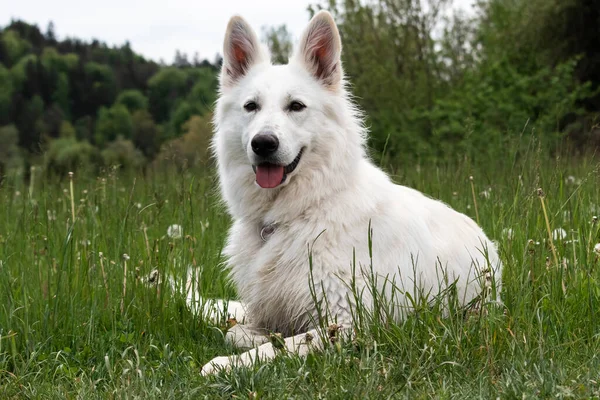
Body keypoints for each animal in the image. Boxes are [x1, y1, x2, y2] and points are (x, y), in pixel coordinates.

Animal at [202, 11, 502, 376]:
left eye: (296, 106)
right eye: (251, 106)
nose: (263, 144)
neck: (301, 211)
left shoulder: (347, 324)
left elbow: (281, 346)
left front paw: (225, 364)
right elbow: (236, 331)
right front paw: (254, 339)